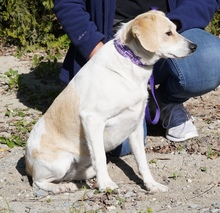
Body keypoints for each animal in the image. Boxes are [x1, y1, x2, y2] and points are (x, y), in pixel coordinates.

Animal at [24, 10, 197, 194]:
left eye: (175, 29)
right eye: (168, 33)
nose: (194, 47)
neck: (130, 63)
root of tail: (27, 164)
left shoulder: (136, 126)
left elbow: (142, 162)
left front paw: (151, 185)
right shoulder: (92, 120)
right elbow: (100, 156)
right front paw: (106, 184)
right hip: (61, 162)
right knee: (38, 182)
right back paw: (61, 187)